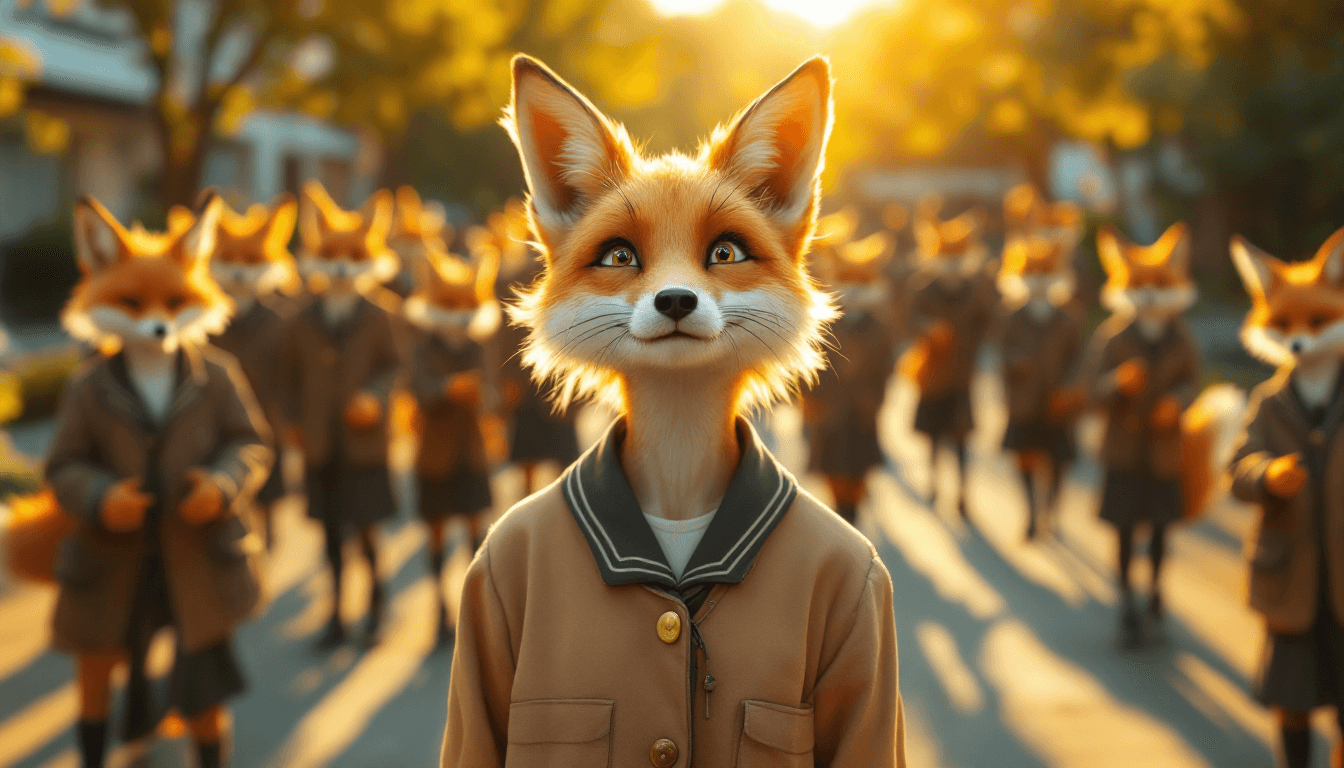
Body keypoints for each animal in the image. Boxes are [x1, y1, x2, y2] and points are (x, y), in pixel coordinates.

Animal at [45, 194, 270, 768]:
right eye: (130, 302)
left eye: (175, 303)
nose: (162, 335)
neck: (151, 373)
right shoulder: (78, 415)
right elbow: (68, 465)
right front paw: (124, 505)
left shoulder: (232, 399)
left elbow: (246, 444)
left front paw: (201, 497)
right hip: (102, 631)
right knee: (99, 692)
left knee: (197, 703)